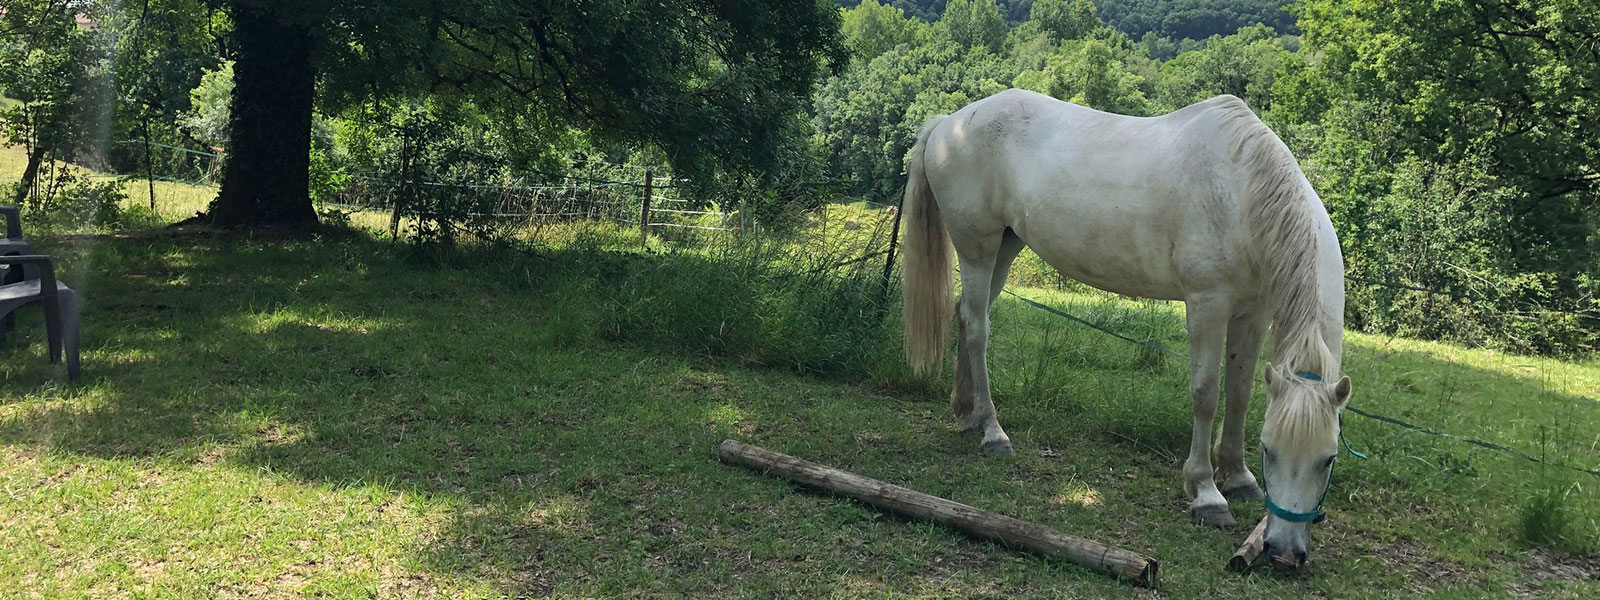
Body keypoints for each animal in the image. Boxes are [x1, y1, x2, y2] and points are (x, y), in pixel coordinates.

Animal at [899, 89, 1353, 568]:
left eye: (1328, 459)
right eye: (1270, 451)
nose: (1283, 552)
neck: (1244, 190)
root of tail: (950, 121)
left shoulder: (1254, 313)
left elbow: (1240, 394)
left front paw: (1238, 476)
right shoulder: (1208, 303)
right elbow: (1206, 395)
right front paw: (1207, 494)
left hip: (1005, 245)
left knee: (967, 314)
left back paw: (966, 414)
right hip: (977, 248)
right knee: (978, 329)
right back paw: (991, 431)